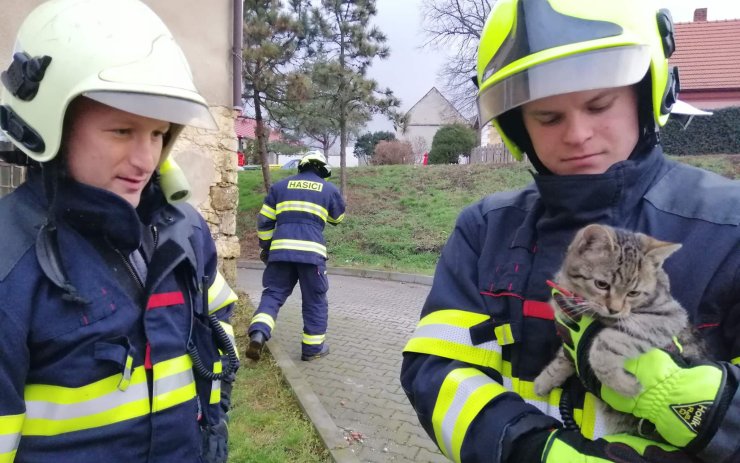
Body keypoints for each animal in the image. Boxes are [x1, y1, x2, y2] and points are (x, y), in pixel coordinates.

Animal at [536, 224, 704, 436]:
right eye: (601, 284)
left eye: (633, 293)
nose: (614, 310)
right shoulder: (569, 332)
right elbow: (564, 356)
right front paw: (546, 378)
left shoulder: (668, 315)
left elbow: (603, 344)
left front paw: (623, 385)